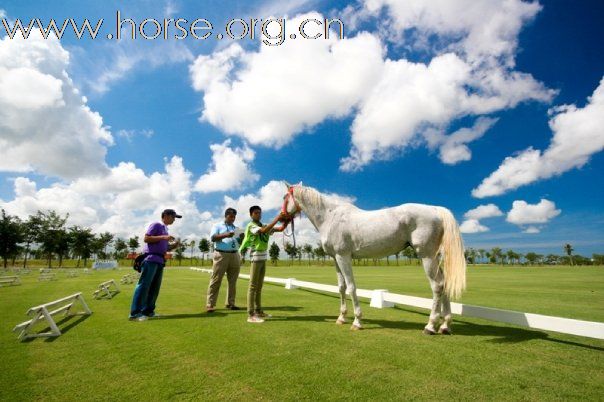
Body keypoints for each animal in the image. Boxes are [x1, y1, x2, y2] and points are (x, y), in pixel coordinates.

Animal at [280, 184, 464, 334]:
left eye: (283, 197)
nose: (281, 217)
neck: (330, 217)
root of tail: (435, 209)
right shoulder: (335, 259)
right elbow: (341, 287)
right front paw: (341, 318)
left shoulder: (343, 257)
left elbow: (351, 287)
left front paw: (357, 321)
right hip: (434, 258)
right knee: (444, 283)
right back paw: (445, 325)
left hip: (426, 256)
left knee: (437, 286)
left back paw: (430, 326)